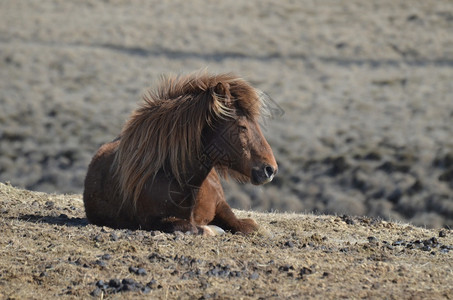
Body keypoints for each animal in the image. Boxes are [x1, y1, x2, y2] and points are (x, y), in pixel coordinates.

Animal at [83, 72, 278, 234]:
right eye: (241, 126)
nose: (270, 169)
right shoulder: (154, 221)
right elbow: (193, 228)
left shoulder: (221, 204)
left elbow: (246, 225)